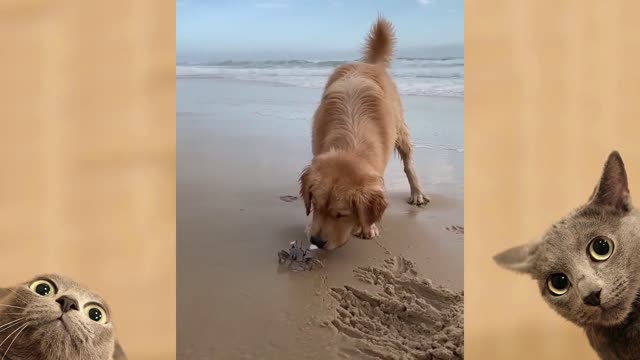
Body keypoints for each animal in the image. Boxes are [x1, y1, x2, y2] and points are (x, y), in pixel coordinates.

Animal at [300, 16, 430, 250]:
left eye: (341, 214)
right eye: (315, 205)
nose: (317, 241)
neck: (350, 142)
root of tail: (369, 64)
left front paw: (368, 227)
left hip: (401, 131)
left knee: (409, 164)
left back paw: (416, 193)